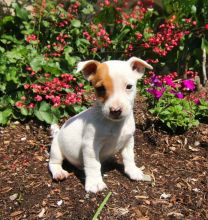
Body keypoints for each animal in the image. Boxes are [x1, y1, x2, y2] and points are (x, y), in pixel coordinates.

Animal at [49, 56, 153, 192]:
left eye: (129, 86)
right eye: (100, 89)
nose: (115, 110)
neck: (114, 125)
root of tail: (57, 133)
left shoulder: (128, 141)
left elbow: (129, 157)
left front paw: (133, 171)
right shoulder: (90, 147)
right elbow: (94, 165)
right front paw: (95, 183)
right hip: (56, 149)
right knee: (53, 163)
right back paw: (59, 172)